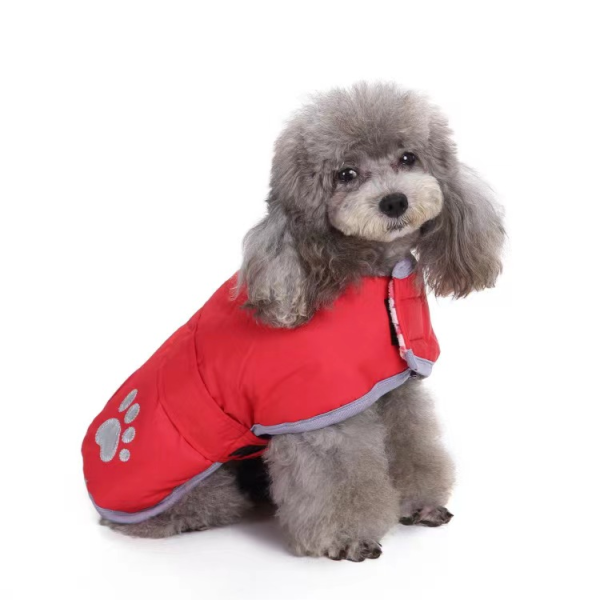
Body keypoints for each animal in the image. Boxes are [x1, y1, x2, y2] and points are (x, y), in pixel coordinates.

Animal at [101, 82, 504, 561]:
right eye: (346, 174)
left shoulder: (393, 390)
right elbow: (336, 476)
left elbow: (412, 442)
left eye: (408, 158)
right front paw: (347, 537)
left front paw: (420, 504)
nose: (394, 201)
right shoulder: (318, 412)